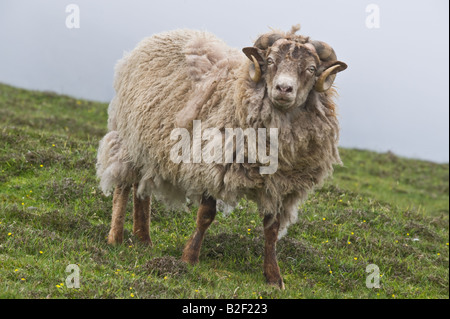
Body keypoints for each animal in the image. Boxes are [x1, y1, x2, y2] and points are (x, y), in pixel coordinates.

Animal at [96, 25, 346, 290]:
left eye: (311, 69)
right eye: (270, 61)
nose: (283, 89)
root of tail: (164, 34)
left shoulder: (278, 186)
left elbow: (272, 230)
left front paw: (274, 278)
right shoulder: (212, 166)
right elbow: (205, 216)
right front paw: (189, 259)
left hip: (149, 144)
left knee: (141, 190)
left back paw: (143, 239)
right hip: (128, 137)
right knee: (123, 184)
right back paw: (116, 237)